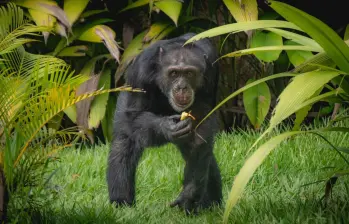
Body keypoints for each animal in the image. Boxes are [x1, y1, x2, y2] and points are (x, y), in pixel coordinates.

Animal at [106, 32, 222, 214]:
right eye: (174, 73)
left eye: (189, 73)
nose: (181, 87)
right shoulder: (140, 70)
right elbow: (134, 115)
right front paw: (166, 127)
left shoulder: (211, 70)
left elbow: (201, 130)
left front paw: (189, 194)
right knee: (124, 141)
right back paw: (121, 202)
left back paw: (211, 204)